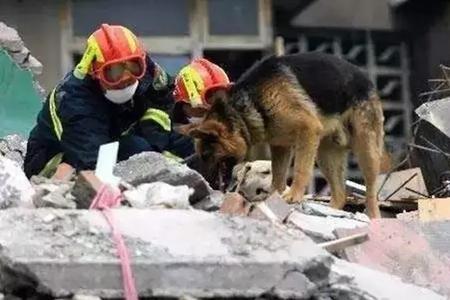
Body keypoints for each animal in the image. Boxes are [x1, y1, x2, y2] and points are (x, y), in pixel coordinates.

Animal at [179, 52, 386, 218]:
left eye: (206, 155)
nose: (203, 182)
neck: (248, 105)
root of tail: (366, 78)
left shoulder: (308, 131)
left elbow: (301, 170)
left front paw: (293, 196)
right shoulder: (280, 146)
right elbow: (278, 176)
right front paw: (274, 197)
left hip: (365, 150)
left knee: (371, 192)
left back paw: (374, 218)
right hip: (325, 156)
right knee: (340, 194)